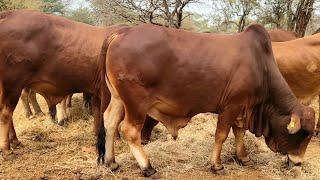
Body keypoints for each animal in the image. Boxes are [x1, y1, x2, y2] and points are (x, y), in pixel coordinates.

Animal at [0, 9, 124, 156]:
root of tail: (8, 14)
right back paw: (7, 148)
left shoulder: (96, 91)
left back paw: (15, 140)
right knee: (5, 113)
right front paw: (116, 137)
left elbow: (97, 112)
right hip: (13, 85)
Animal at [97, 23, 316, 176]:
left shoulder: (242, 109)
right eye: (303, 135)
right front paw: (216, 165)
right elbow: (221, 135)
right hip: (136, 103)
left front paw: (243, 158)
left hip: (118, 98)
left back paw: (111, 162)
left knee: (110, 121)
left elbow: (239, 133)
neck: (261, 66)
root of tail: (122, 32)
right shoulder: (231, 106)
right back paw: (147, 167)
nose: (298, 162)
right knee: (129, 130)